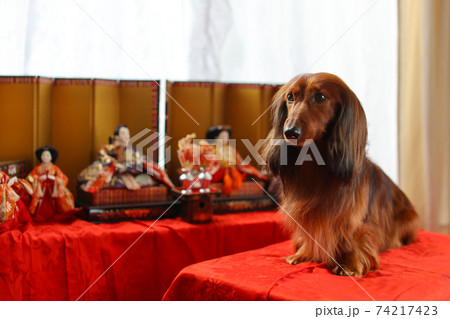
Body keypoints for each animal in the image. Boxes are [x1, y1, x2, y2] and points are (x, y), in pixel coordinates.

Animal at [264, 72, 418, 278]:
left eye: (320, 97)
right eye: (290, 97)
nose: (290, 132)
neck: (316, 166)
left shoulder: (353, 217)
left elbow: (352, 236)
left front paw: (350, 264)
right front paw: (303, 253)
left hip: (408, 217)